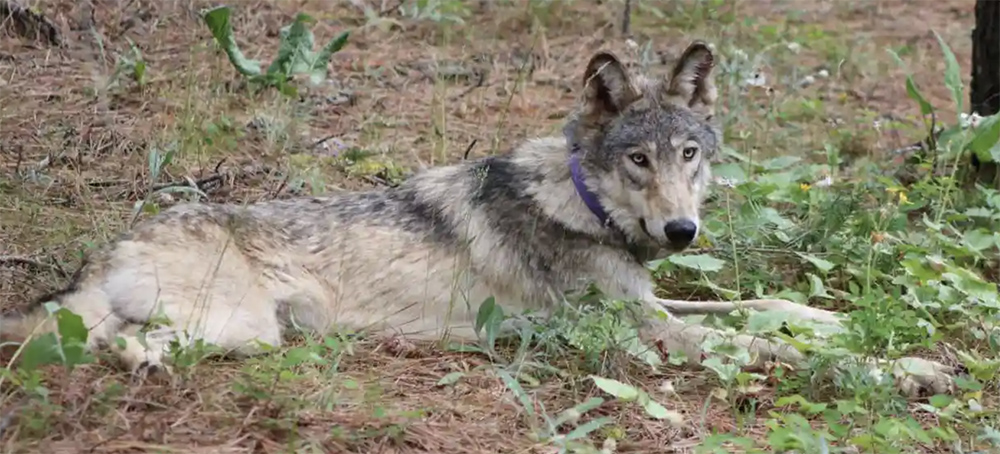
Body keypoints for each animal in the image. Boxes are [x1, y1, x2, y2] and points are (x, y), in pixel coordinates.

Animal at [0, 41, 952, 398]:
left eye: (690, 154)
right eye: (637, 161)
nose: (682, 233)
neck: (582, 201)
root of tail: (114, 244)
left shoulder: (649, 304)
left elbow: (766, 308)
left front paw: (839, 322)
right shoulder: (645, 333)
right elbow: (760, 345)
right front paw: (906, 368)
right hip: (239, 329)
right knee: (110, 344)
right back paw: (138, 365)